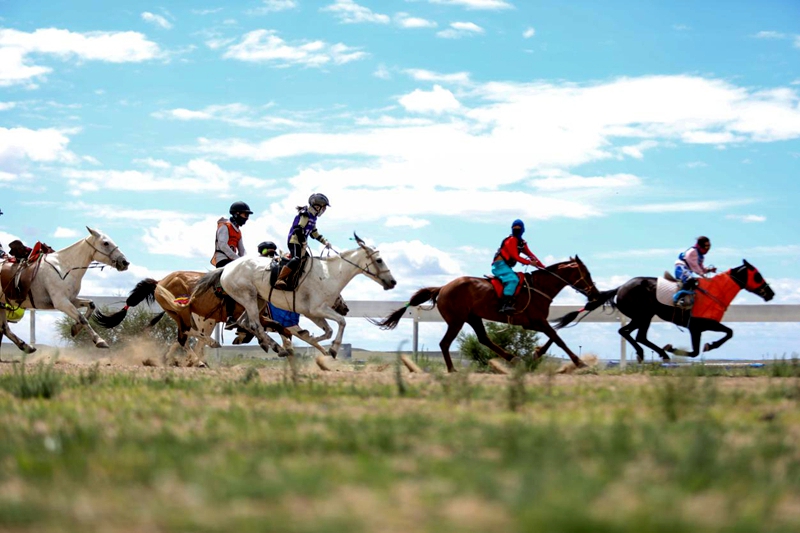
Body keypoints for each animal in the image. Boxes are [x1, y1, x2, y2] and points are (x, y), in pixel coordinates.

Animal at [0, 227, 129, 358]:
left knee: (4, 328)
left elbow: (90, 305)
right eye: (105, 243)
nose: (125, 262)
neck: (64, 267)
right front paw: (100, 341)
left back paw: (26, 347)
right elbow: (82, 318)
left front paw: (76, 328)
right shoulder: (61, 302)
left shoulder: (71, 299)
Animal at [94, 271, 350, 365]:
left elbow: (288, 333)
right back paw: (200, 356)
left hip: (183, 315)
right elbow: (288, 332)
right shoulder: (264, 319)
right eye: (337, 294)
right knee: (186, 335)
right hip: (186, 314)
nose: (346, 308)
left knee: (182, 338)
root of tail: (159, 282)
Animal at [192, 233, 397, 358]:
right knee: (255, 324)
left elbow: (327, 331)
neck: (330, 274)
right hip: (248, 298)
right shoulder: (318, 309)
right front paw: (332, 348)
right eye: (379, 260)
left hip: (258, 300)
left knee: (245, 323)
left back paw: (271, 345)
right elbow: (341, 323)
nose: (393, 282)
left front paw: (316, 342)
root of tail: (226, 268)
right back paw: (276, 347)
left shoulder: (312, 313)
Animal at [372, 257, 600, 372]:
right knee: (445, 343)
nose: (596, 294)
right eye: (587, 274)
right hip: (457, 320)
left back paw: (512, 358)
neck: (540, 287)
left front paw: (536, 353)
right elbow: (558, 338)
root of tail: (442, 287)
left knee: (483, 338)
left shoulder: (533, 322)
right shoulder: (537, 321)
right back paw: (452, 370)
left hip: (473, 317)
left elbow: (554, 337)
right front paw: (580, 363)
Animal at [551, 259, 775, 361]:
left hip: (643, 316)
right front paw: (701, 346)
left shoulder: (699, 327)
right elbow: (721, 336)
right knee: (634, 334)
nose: (770, 293)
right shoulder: (699, 325)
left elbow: (724, 335)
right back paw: (656, 352)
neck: (714, 292)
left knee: (631, 333)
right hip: (644, 315)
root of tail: (621, 287)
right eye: (757, 275)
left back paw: (649, 353)